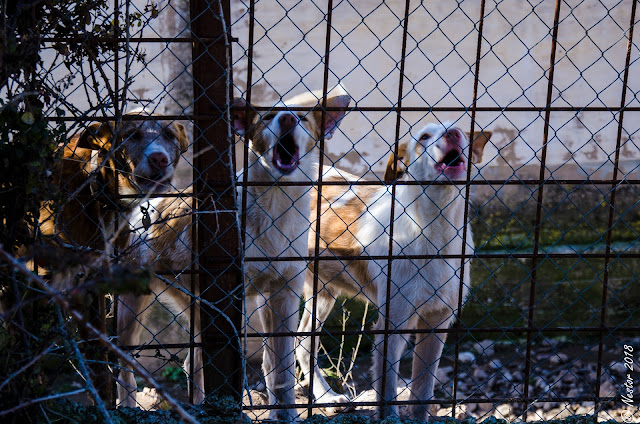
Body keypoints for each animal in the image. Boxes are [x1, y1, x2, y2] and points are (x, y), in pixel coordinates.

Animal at [119, 87, 350, 420]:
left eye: (303, 117)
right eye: (267, 117)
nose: (288, 118)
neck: (275, 205)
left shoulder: (281, 294)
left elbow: (278, 369)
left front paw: (285, 415)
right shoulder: (231, 296)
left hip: (197, 309)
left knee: (193, 363)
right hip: (132, 304)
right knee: (121, 363)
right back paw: (126, 406)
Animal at [298, 122, 492, 420]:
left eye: (460, 130)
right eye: (424, 137)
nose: (453, 134)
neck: (435, 229)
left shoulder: (437, 323)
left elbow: (422, 389)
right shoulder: (393, 324)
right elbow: (387, 389)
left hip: (323, 290)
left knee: (303, 343)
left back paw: (325, 397)